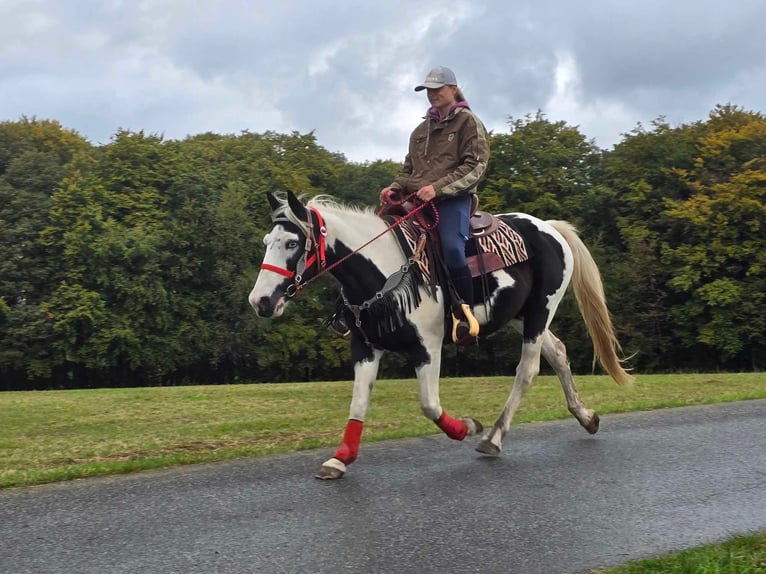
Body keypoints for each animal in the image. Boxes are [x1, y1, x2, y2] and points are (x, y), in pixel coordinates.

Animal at [249, 191, 632, 480]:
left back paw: (493, 436)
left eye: (292, 243)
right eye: (268, 241)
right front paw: (339, 458)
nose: (260, 301)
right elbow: (358, 404)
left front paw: (468, 427)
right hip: (521, 316)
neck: (384, 273)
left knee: (528, 370)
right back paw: (586, 417)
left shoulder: (427, 349)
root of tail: (548, 228)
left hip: (541, 310)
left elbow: (430, 405)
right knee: (558, 353)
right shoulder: (366, 348)